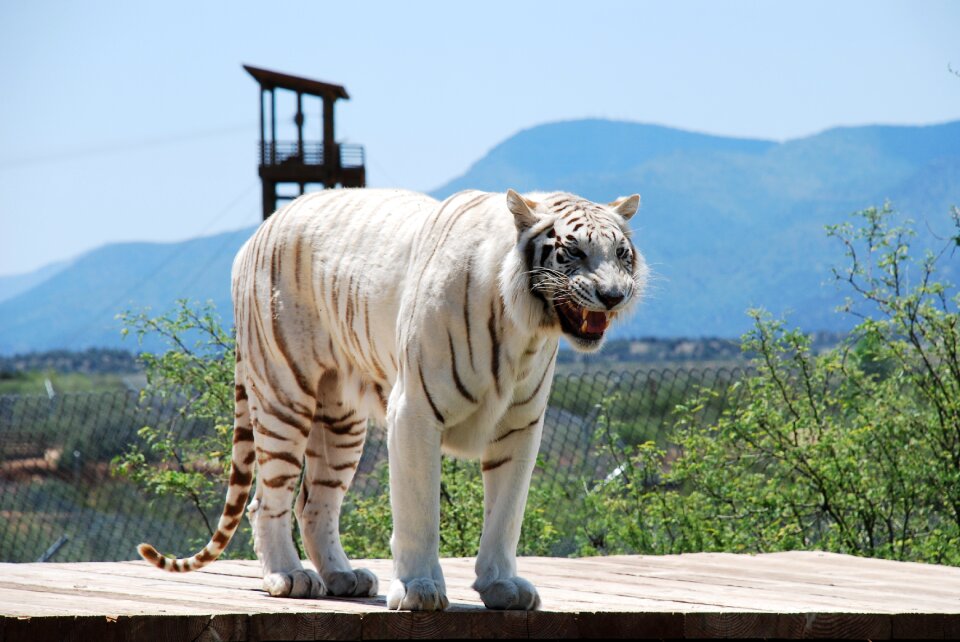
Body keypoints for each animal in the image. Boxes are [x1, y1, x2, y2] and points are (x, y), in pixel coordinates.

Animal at [139, 186, 648, 608]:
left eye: (621, 254)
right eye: (573, 251)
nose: (613, 295)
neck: (523, 327)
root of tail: (262, 227)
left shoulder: (520, 425)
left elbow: (506, 513)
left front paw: (502, 585)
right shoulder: (415, 411)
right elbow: (419, 509)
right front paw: (419, 589)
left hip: (341, 422)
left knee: (314, 503)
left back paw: (343, 577)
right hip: (284, 393)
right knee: (268, 500)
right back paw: (288, 576)